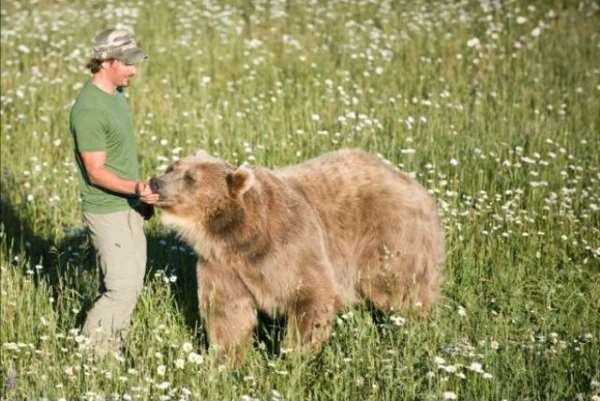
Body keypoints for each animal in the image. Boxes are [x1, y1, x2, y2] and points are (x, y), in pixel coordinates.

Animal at [150, 148, 440, 360]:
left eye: (191, 178)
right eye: (171, 167)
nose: (155, 182)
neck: (237, 236)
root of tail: (416, 185)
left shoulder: (289, 245)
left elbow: (310, 296)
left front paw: (294, 357)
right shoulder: (221, 265)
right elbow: (227, 313)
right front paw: (225, 362)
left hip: (389, 237)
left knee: (400, 288)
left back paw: (414, 326)